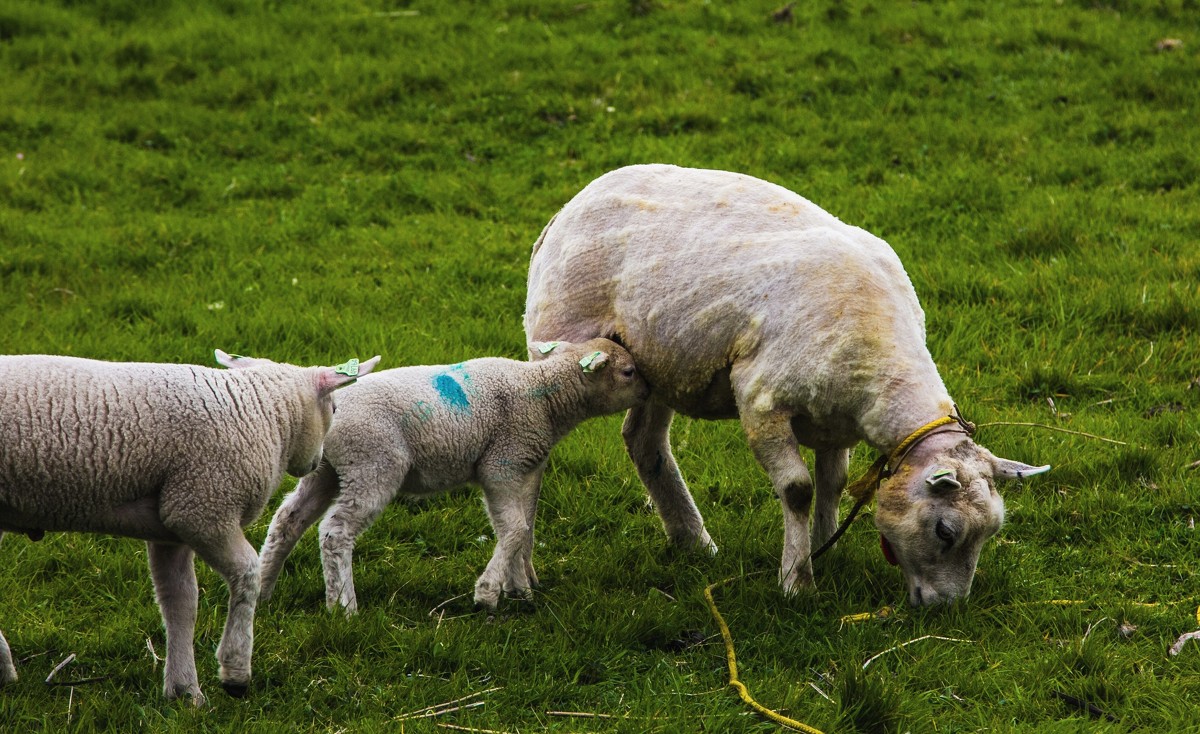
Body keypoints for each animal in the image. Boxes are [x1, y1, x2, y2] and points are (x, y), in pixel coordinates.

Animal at [0, 350, 379, 705]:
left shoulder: (170, 524)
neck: (263, 410)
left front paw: (184, 690)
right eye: (333, 407)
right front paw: (235, 671)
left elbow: (180, 602)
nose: (317, 463)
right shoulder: (203, 510)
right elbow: (248, 575)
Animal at [259, 338, 652, 614]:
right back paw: (342, 606)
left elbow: (514, 529)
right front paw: (488, 594)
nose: (650, 392)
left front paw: (519, 590)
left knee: (287, 520)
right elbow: (516, 529)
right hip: (372, 463)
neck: (544, 398)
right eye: (629, 372)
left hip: (328, 469)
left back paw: (264, 589)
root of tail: (330, 407)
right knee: (335, 532)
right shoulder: (502, 464)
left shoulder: (510, 471)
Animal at [520, 166, 1046, 606]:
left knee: (644, 442)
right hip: (561, 343)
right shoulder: (761, 402)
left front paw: (825, 547)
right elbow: (798, 489)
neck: (882, 369)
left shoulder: (836, 421)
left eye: (988, 535)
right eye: (945, 532)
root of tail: (571, 205)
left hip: (659, 368)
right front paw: (797, 580)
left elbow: (834, 484)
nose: (946, 608)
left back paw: (693, 541)